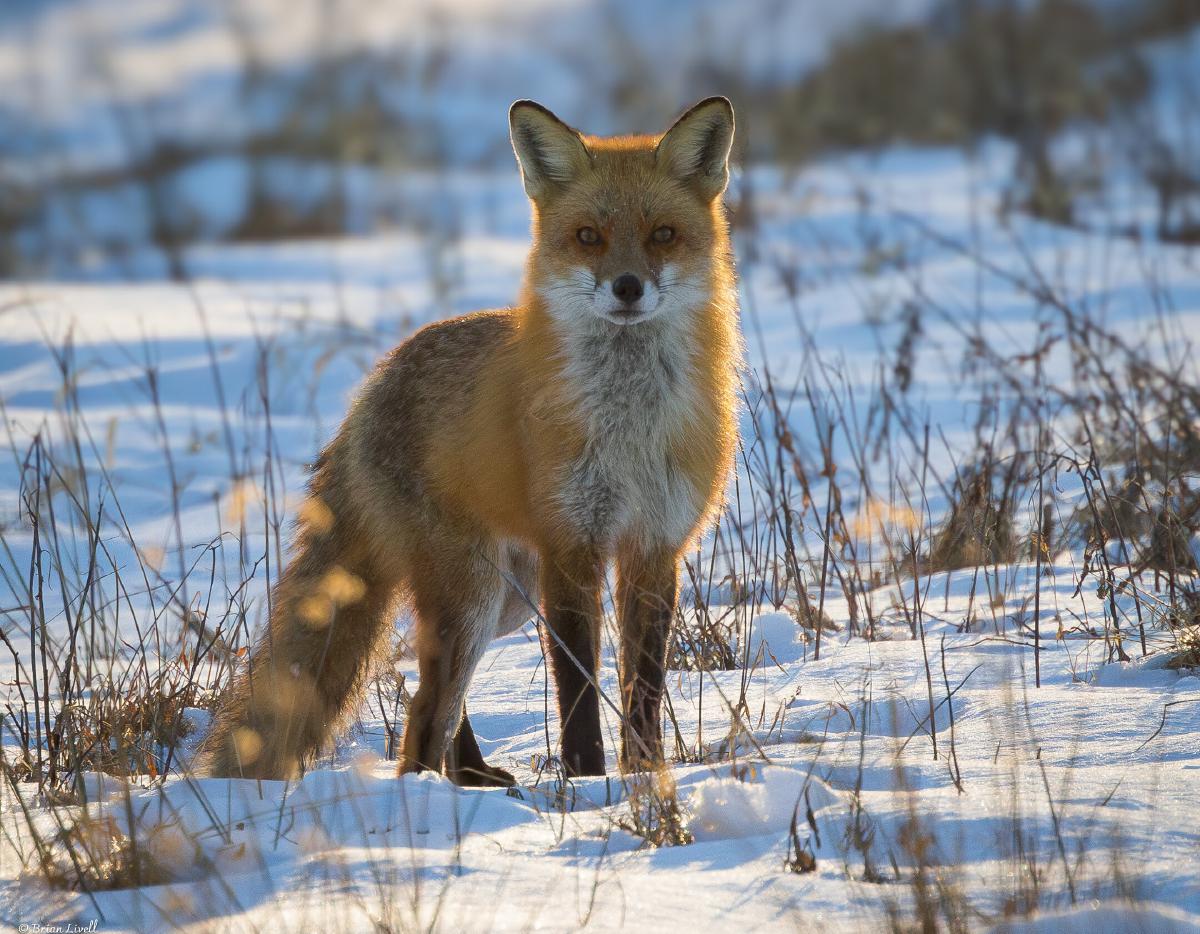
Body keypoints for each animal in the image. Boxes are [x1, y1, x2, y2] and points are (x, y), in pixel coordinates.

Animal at [200, 96, 742, 785]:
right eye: (588, 237)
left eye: (663, 235)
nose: (627, 286)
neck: (629, 429)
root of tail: (372, 389)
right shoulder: (572, 546)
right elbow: (578, 689)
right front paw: (590, 782)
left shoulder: (654, 546)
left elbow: (643, 685)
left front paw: (646, 776)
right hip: (476, 593)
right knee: (424, 713)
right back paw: (437, 791)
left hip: (506, 598)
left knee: (431, 702)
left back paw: (472, 780)